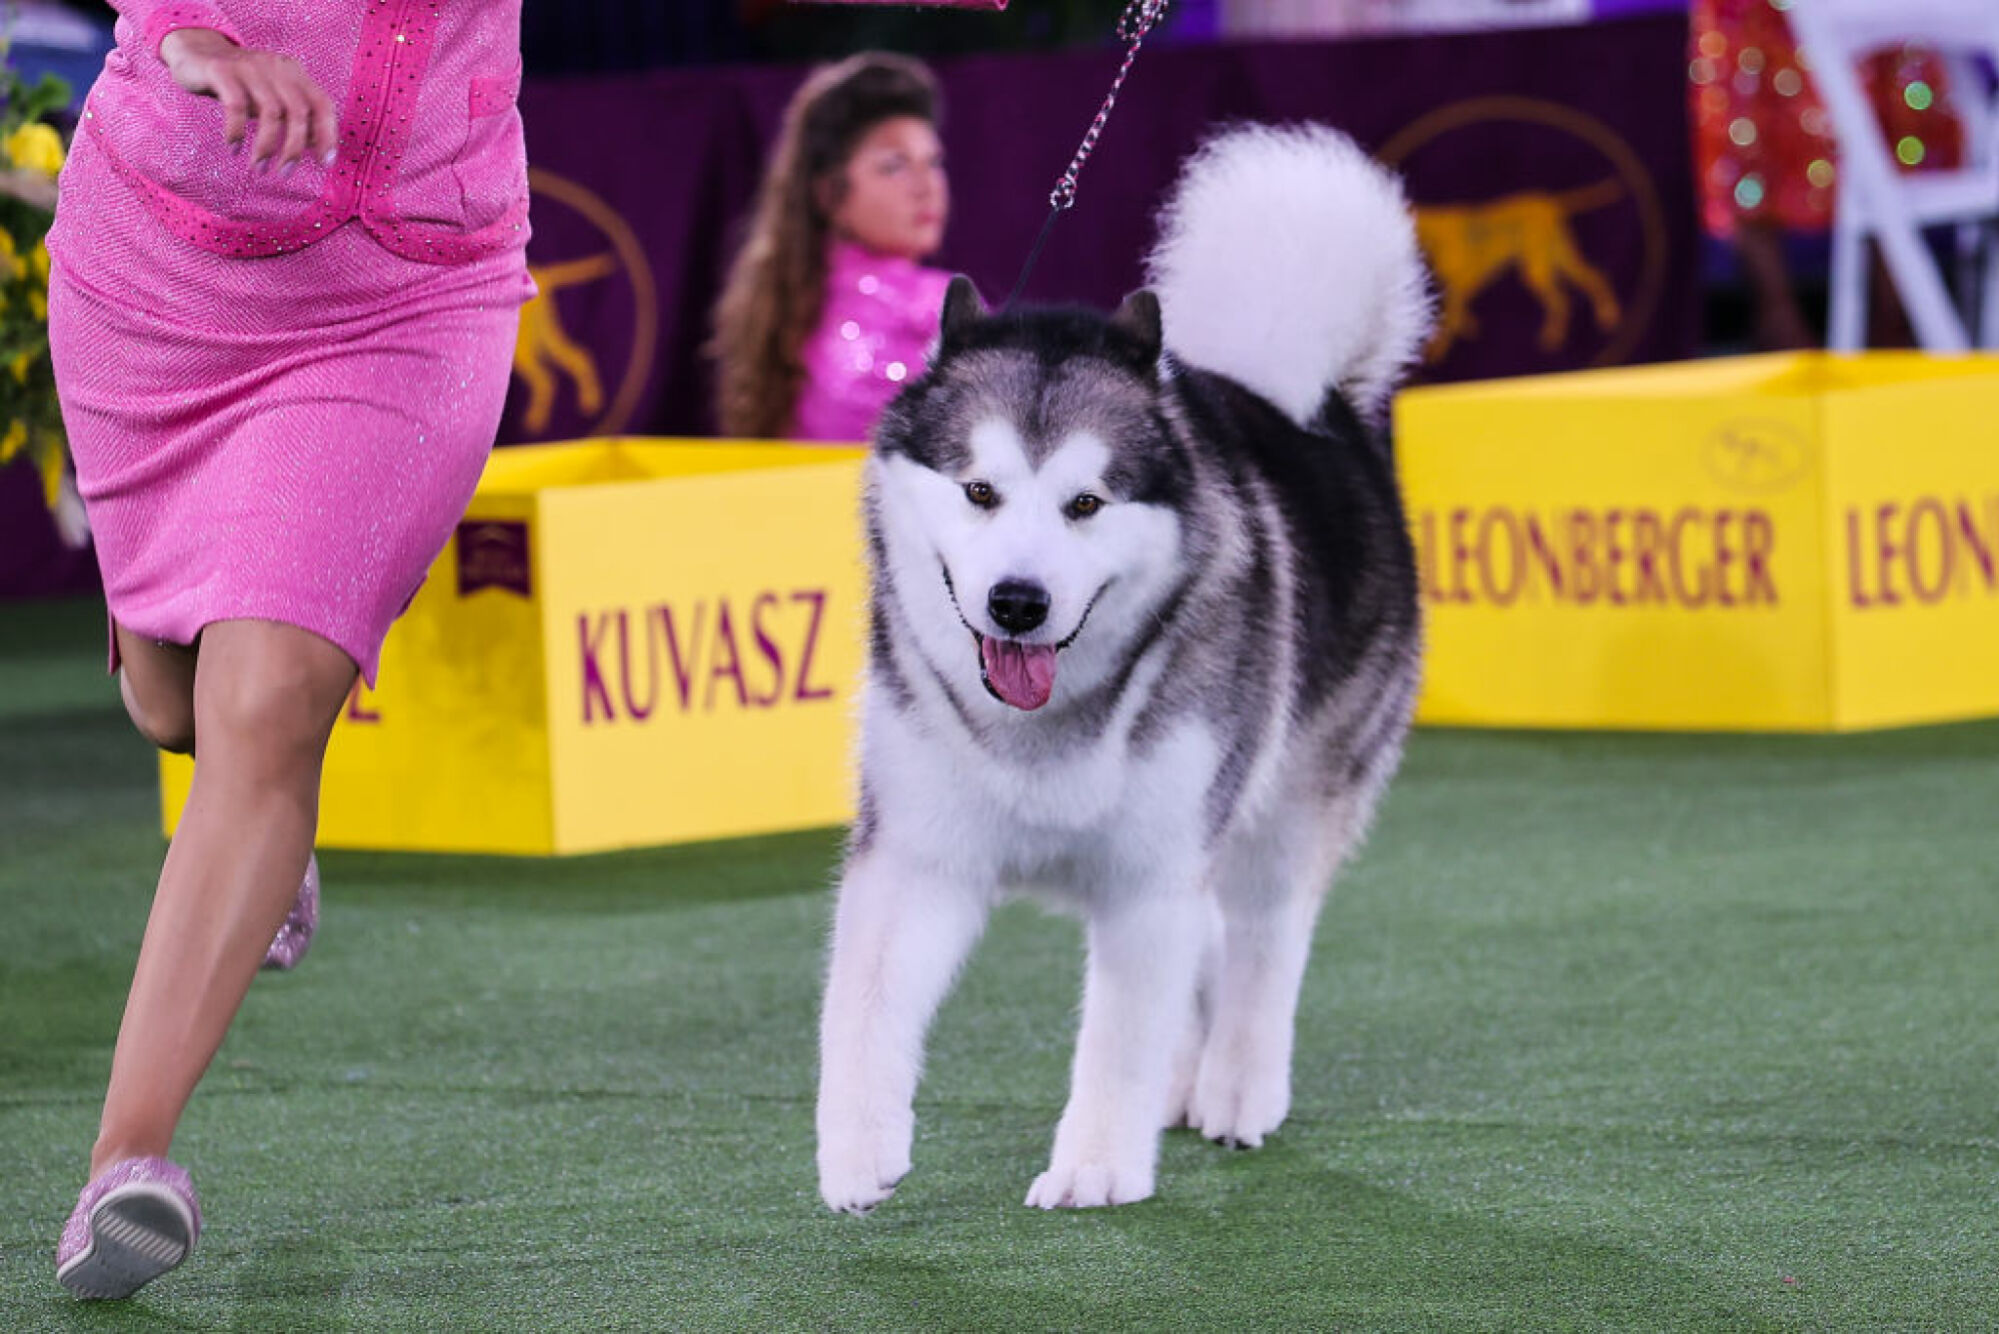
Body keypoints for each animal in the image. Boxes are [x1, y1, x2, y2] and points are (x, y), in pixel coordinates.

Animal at [819, 122, 1431, 1208]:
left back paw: (1236, 1087)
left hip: (1286, 799)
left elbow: (1118, 1038)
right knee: (1214, 941)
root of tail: (1328, 415)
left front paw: (1096, 1166)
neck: (1038, 723)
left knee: (1262, 940)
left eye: (1086, 503)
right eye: (978, 490)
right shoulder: (917, 851)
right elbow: (862, 1006)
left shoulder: (1152, 870)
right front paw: (856, 1149)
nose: (1017, 601)